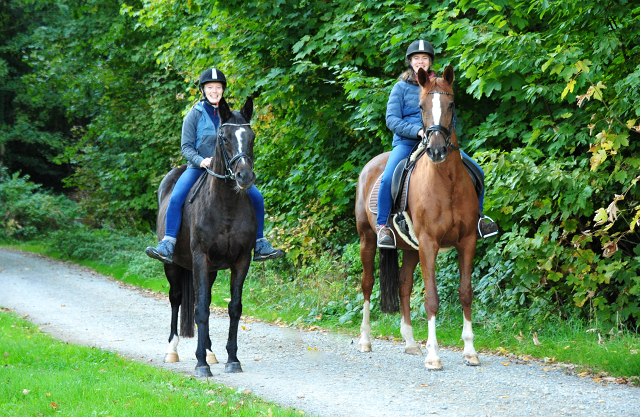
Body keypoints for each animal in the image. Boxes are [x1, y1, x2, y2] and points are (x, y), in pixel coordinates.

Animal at [154, 97, 255, 376]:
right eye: (225, 137)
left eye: (252, 137)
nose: (245, 176)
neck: (226, 206)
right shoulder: (200, 258)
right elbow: (200, 310)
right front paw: (200, 365)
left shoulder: (242, 260)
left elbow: (233, 308)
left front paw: (232, 359)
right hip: (173, 266)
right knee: (176, 298)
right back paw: (172, 350)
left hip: (210, 271)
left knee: (205, 298)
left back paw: (210, 351)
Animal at [356, 66, 480, 370]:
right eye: (421, 107)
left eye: (451, 104)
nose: (436, 150)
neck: (446, 182)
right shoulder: (429, 243)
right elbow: (431, 298)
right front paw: (433, 355)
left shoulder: (467, 241)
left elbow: (465, 292)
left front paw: (470, 351)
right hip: (368, 240)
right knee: (367, 285)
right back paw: (365, 340)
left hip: (410, 249)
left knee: (403, 284)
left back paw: (411, 342)